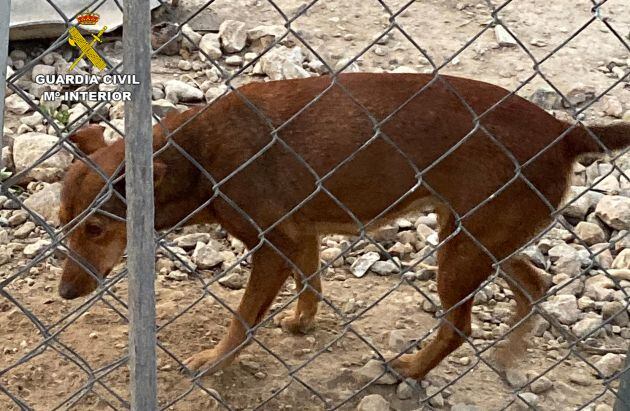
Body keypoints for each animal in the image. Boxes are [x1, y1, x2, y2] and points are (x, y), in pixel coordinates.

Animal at [56, 72, 628, 382]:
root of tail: (563, 132)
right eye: (65, 225)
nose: (65, 293)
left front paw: (215, 361)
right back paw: (510, 351)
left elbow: (242, 319)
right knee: (535, 284)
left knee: (459, 327)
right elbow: (311, 281)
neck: (196, 155)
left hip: (463, 248)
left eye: (96, 229)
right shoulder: (301, 235)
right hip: (481, 236)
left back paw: (412, 369)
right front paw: (301, 322)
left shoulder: (273, 246)